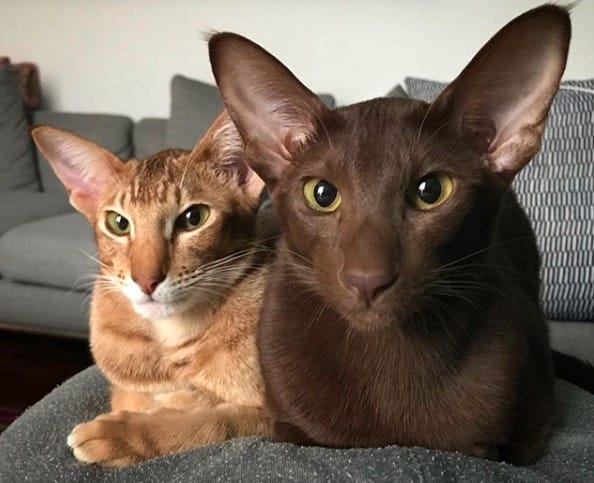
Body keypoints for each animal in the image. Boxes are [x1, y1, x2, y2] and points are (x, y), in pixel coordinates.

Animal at [31, 111, 274, 467]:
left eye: (194, 217)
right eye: (118, 223)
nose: (146, 280)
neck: (174, 338)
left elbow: (214, 421)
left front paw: (120, 434)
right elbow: (135, 396)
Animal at [207, 4, 571, 465]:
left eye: (431, 190)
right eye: (321, 194)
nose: (367, 279)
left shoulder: (529, 432)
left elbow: (488, 448)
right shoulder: (286, 424)